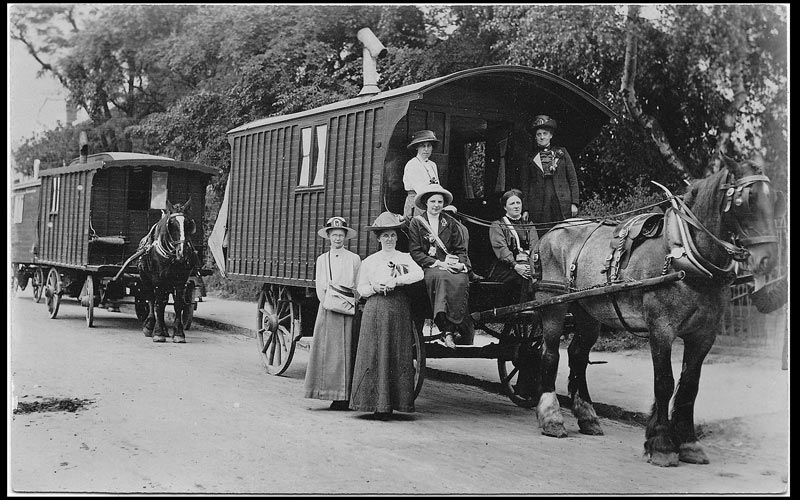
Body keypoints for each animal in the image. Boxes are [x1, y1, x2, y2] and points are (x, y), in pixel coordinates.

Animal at [138, 199, 200, 344]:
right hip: (146, 279)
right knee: (152, 300)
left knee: (164, 301)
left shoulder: (181, 282)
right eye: (171, 224)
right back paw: (150, 325)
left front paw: (178, 334)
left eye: (188, 224)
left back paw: (165, 329)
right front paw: (158, 333)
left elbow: (178, 305)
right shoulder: (158, 281)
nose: (182, 252)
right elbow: (158, 305)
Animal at [532, 155, 780, 464]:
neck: (685, 253)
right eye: (747, 200)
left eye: (775, 198)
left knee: (577, 355)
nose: (768, 259)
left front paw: (689, 443)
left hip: (587, 311)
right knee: (550, 353)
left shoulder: (704, 335)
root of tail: (550, 232)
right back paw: (551, 417)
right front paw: (661, 443)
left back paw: (588, 416)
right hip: (552, 305)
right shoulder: (661, 328)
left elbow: (689, 386)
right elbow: (664, 381)